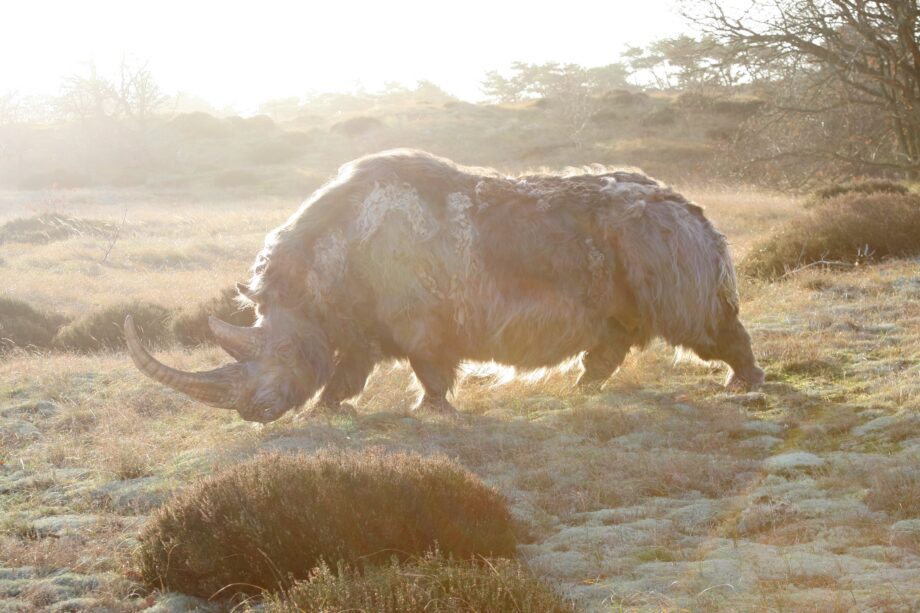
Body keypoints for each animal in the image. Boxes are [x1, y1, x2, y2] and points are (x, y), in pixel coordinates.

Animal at [125, 149, 764, 422]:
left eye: (276, 353)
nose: (252, 415)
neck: (309, 288)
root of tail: (693, 207)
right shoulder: (362, 322)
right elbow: (350, 369)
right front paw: (329, 410)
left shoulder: (416, 319)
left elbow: (427, 367)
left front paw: (430, 411)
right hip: (636, 246)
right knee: (616, 327)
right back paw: (582, 391)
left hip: (661, 241)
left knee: (698, 320)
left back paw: (742, 386)